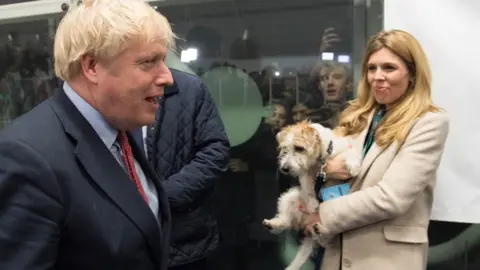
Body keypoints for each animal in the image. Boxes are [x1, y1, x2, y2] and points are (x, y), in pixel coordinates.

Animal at [262, 121, 360, 270]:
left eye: (299, 148)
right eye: (284, 148)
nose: (284, 169)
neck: (320, 160)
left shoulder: (343, 149)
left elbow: (351, 151)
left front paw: (354, 166)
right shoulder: (305, 173)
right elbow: (308, 187)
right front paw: (313, 202)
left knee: (327, 239)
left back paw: (320, 230)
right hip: (289, 197)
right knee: (286, 221)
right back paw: (274, 224)